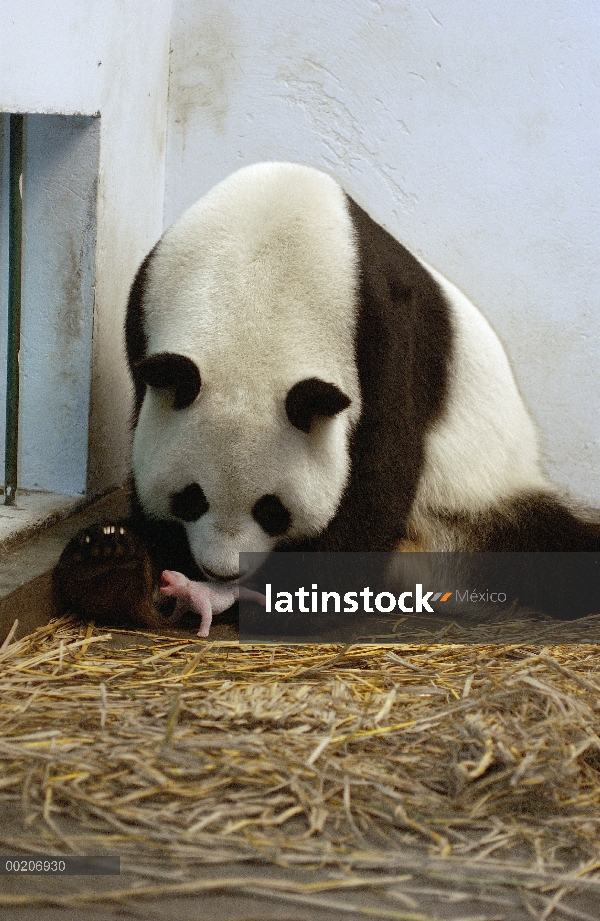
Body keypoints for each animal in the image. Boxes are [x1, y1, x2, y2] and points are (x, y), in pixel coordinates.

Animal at [56, 164, 600, 624]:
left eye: (271, 509)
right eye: (191, 498)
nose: (223, 572)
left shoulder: (385, 334)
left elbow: (379, 464)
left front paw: (305, 597)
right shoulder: (145, 312)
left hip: (482, 498)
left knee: (553, 547)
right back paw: (108, 566)